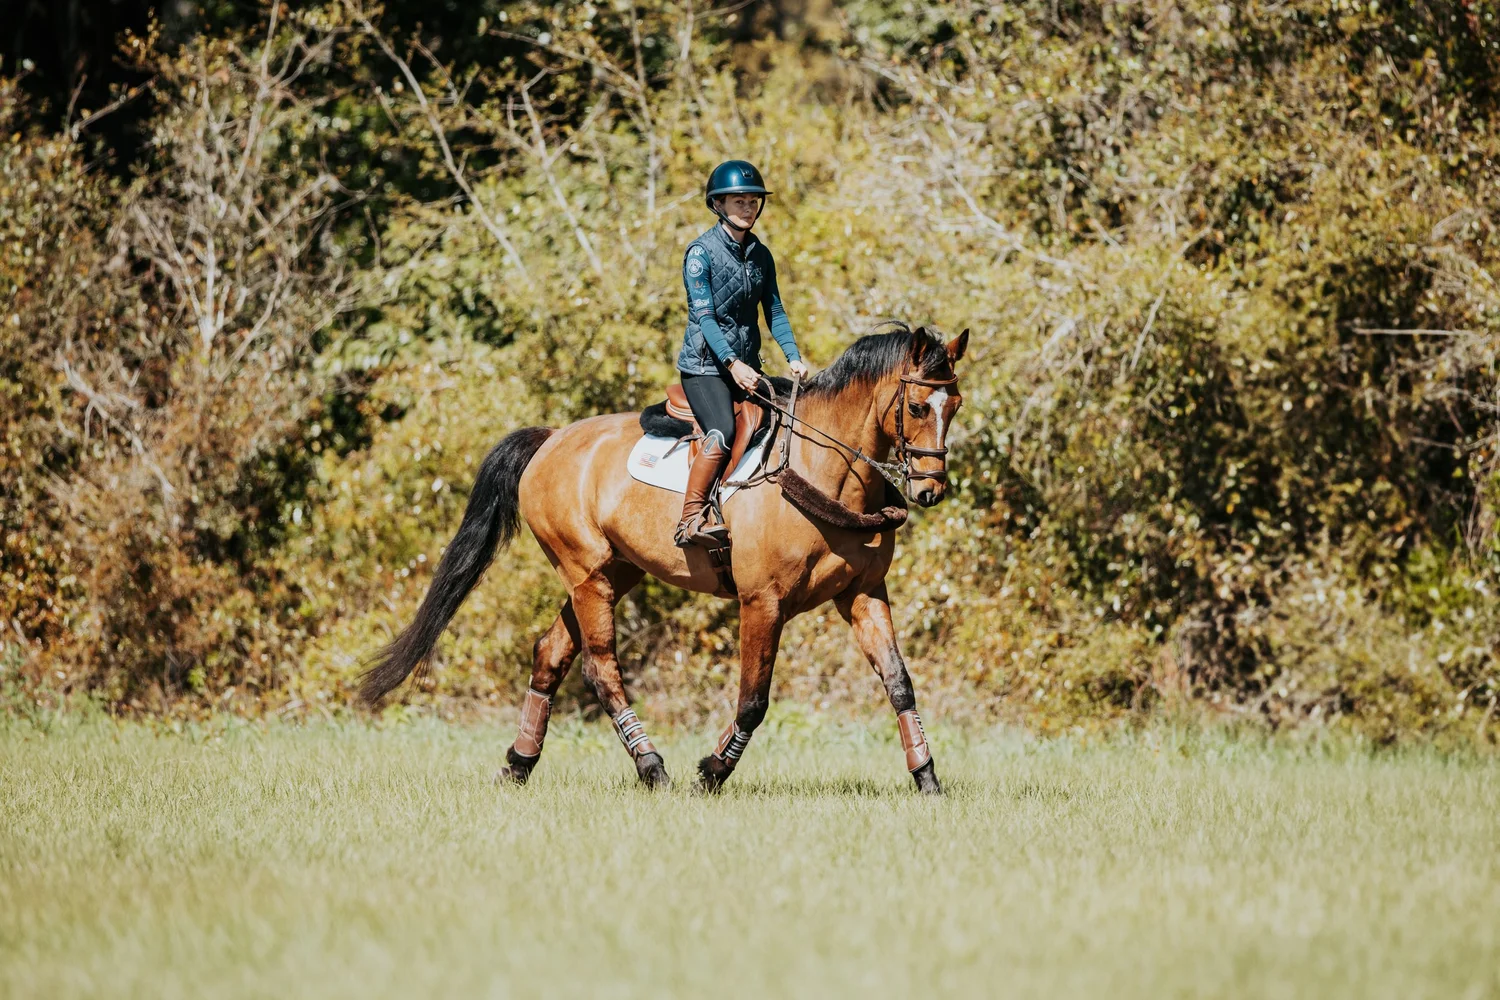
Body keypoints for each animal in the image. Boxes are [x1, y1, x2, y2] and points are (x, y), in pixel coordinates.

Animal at [360, 323, 968, 794]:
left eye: (955, 406)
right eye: (918, 405)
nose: (930, 490)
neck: (820, 469)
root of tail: (552, 439)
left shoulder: (863, 595)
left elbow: (899, 682)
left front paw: (927, 778)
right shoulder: (762, 602)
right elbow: (753, 699)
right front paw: (712, 771)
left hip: (611, 572)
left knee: (550, 654)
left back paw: (518, 764)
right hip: (587, 576)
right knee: (601, 668)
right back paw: (652, 767)